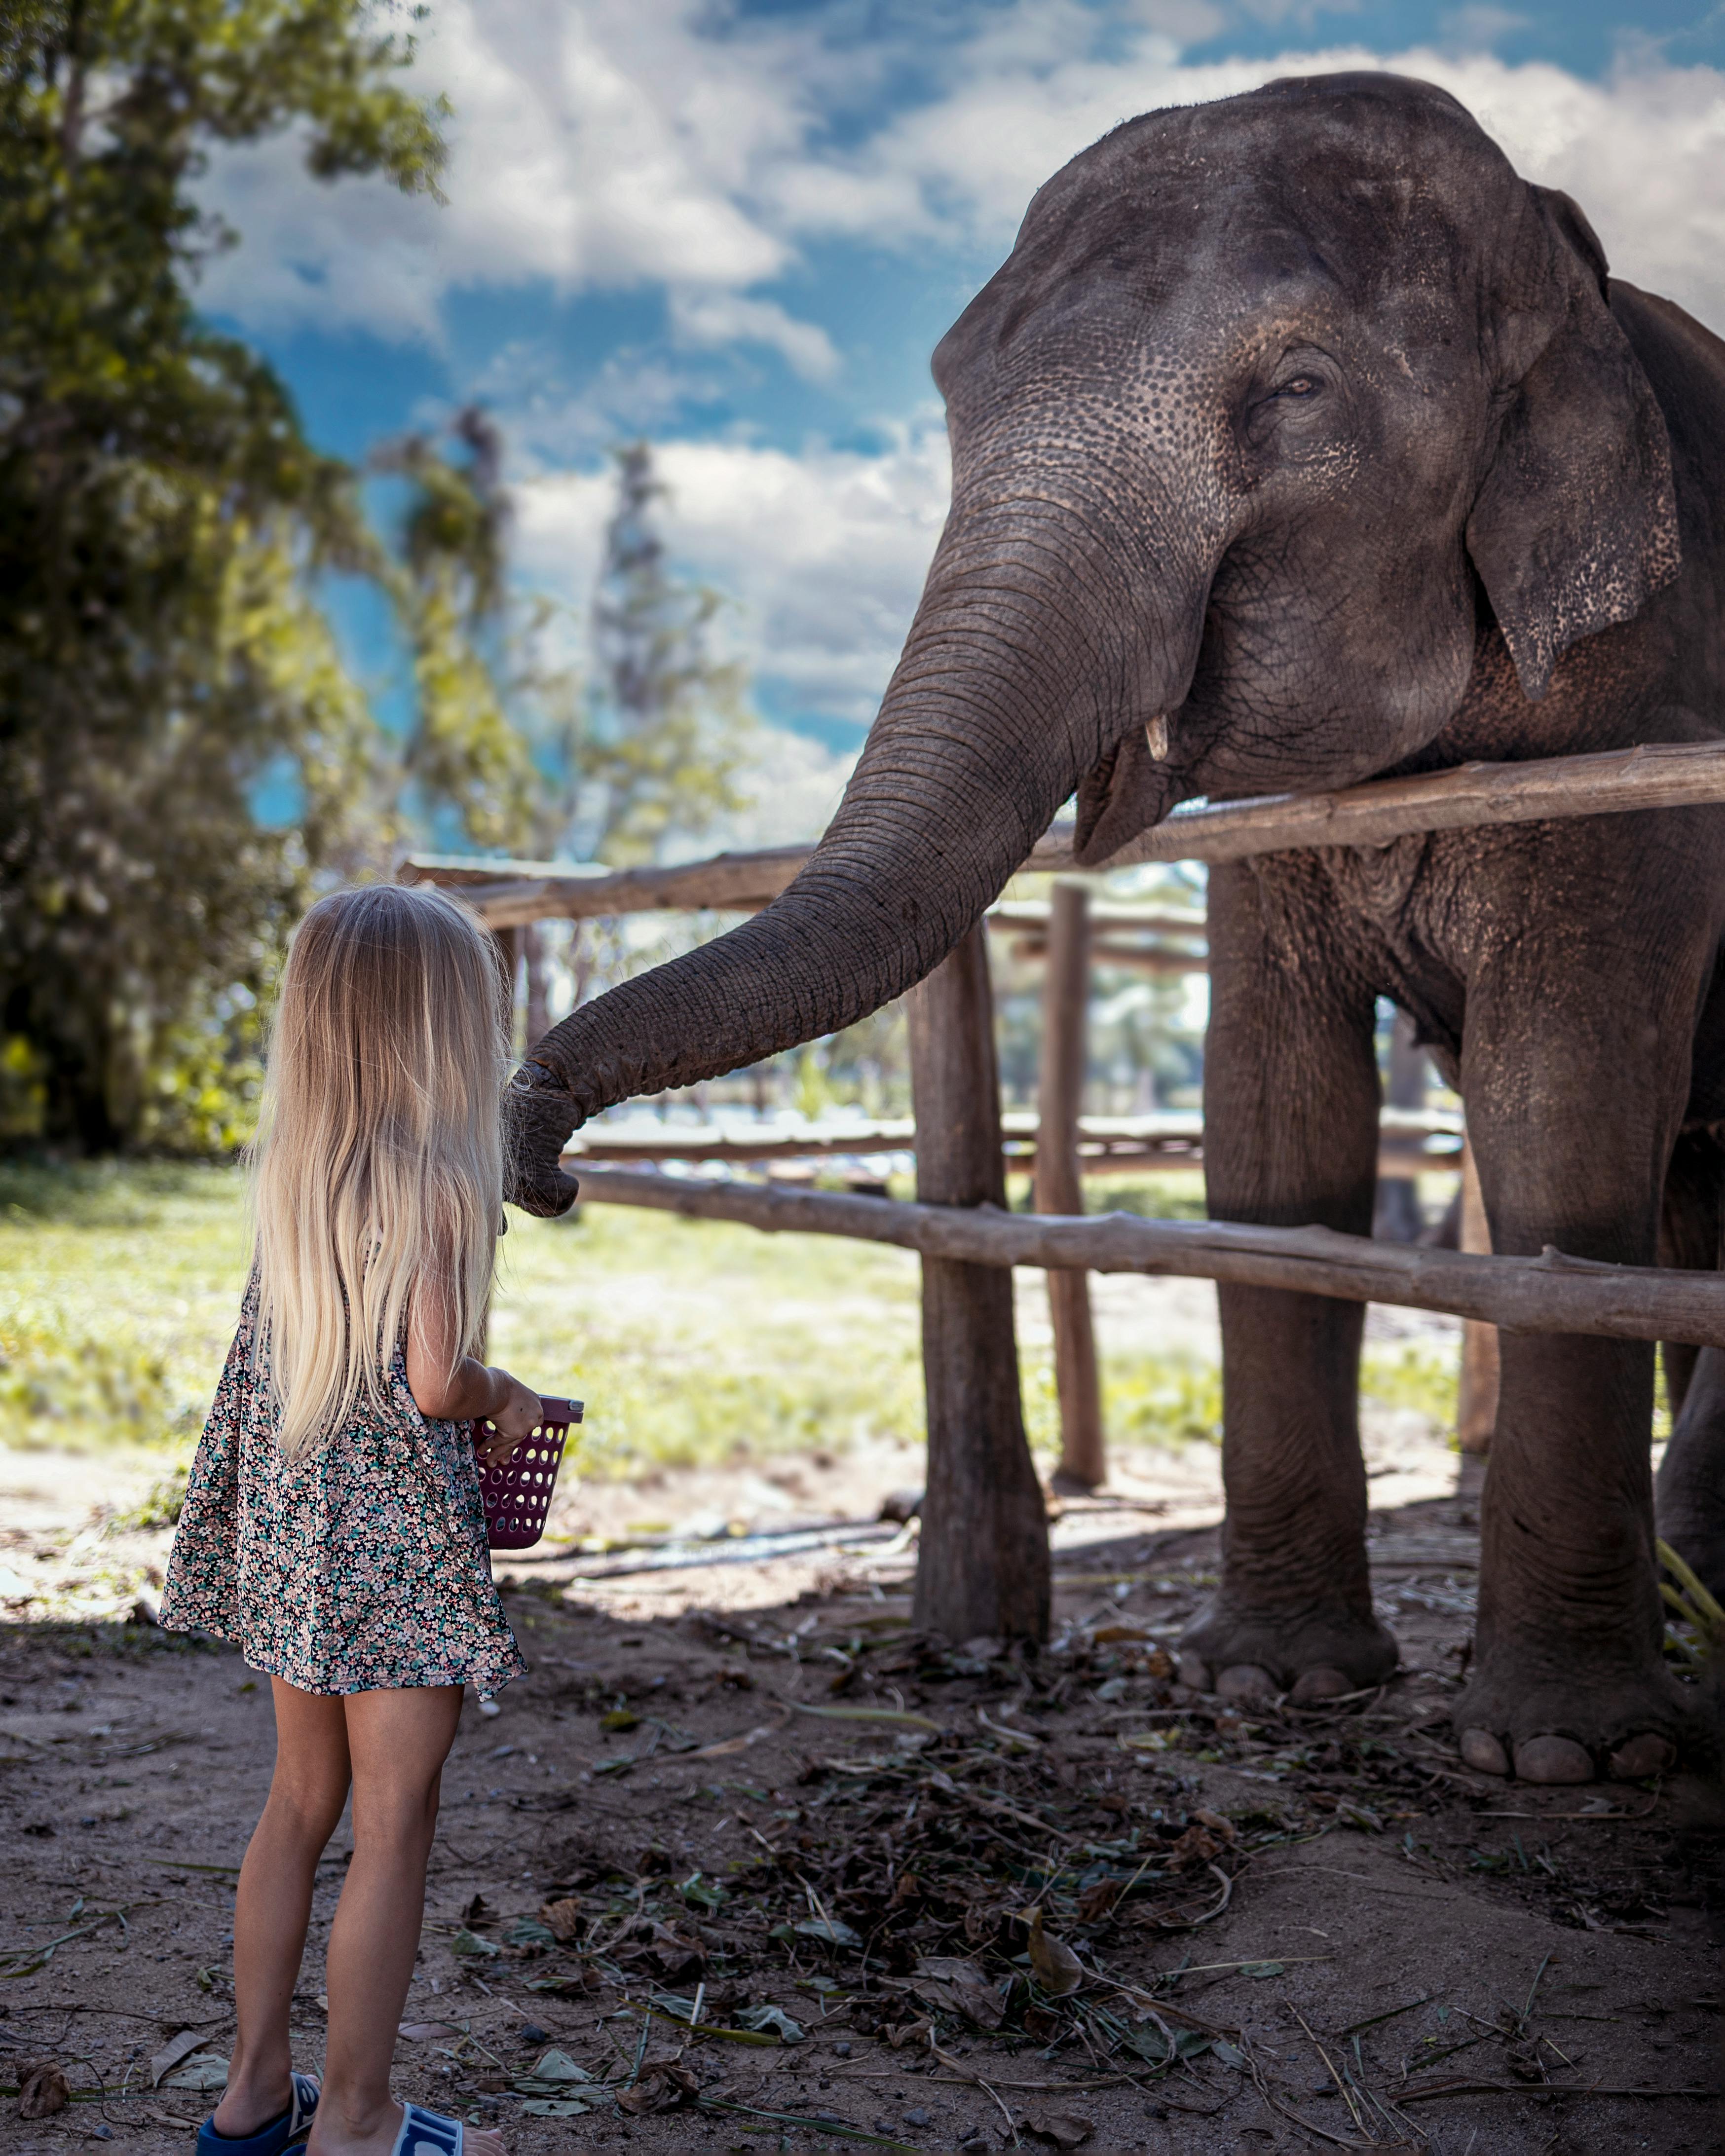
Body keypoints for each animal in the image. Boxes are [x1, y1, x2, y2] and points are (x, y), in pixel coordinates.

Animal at [513, 72, 1725, 1785]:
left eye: (1299, 388)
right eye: (952, 388)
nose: (541, 1155)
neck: (1574, 270)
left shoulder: (1643, 737)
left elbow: (1557, 1122)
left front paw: (1562, 1759)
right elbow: (1274, 1132)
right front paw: (1267, 1686)